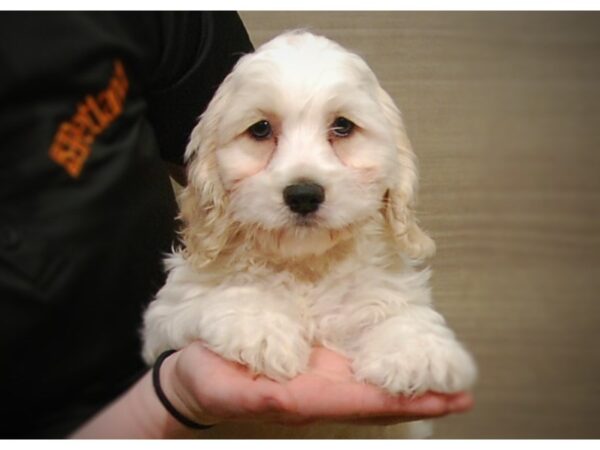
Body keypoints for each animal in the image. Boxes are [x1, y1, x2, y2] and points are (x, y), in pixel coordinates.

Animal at [142, 30, 478, 436]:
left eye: (343, 127)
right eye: (260, 129)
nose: (303, 194)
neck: (308, 265)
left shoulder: (386, 287)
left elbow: (397, 311)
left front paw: (418, 350)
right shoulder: (167, 314)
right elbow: (229, 294)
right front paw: (261, 328)